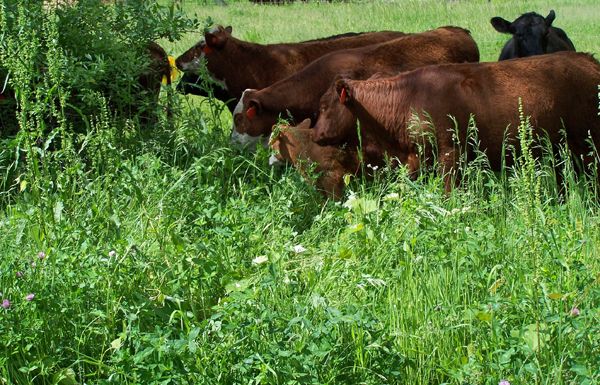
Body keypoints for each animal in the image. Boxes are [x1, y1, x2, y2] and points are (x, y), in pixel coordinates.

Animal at [312, 51, 600, 192]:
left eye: (324, 106)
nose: (315, 134)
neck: (408, 97)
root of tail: (586, 59)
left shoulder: (450, 154)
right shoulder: (416, 160)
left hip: (587, 145)